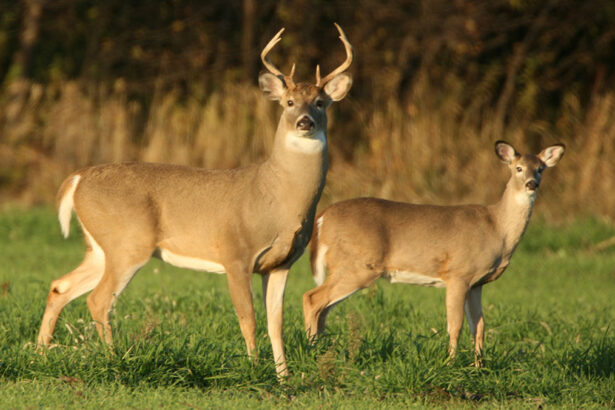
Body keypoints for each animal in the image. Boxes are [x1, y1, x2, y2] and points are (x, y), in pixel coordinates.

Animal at [38, 24, 354, 378]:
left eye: (320, 103)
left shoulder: (281, 263)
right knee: (98, 299)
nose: (304, 122)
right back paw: (113, 359)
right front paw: (254, 371)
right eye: (288, 102)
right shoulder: (235, 253)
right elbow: (248, 319)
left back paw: (40, 354)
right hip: (127, 242)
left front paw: (283, 378)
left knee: (60, 286)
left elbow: (276, 324)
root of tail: (77, 179)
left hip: (100, 247)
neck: (276, 197)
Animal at [300, 141, 564, 366]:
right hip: (357, 266)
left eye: (540, 169)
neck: (497, 227)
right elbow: (455, 324)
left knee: (323, 307)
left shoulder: (477, 283)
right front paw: (451, 363)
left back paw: (322, 349)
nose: (532, 183)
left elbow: (479, 326)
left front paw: (479, 365)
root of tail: (323, 217)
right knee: (311, 298)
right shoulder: (458, 273)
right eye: (518, 168)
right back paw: (312, 349)